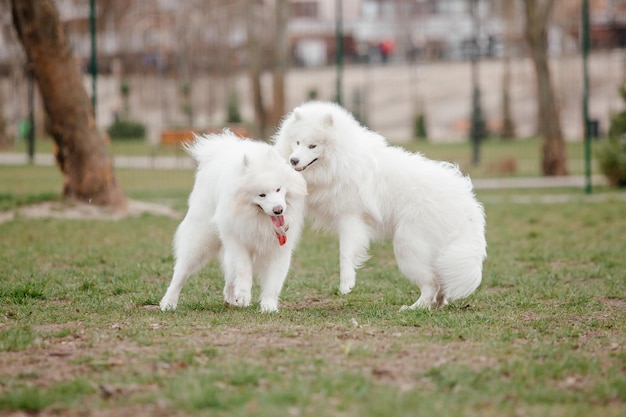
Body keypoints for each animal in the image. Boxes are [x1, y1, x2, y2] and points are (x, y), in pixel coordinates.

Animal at [160, 131, 306, 312]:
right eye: (262, 195)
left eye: (278, 189)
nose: (278, 210)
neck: (259, 218)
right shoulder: (236, 241)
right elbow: (244, 270)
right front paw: (243, 295)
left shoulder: (279, 249)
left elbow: (273, 283)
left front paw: (268, 306)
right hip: (200, 242)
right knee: (180, 273)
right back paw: (168, 302)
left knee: (229, 279)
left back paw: (231, 298)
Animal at [274, 101, 488, 308]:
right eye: (297, 142)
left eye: (313, 146)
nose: (293, 160)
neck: (340, 159)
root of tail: (467, 204)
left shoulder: (350, 218)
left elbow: (345, 253)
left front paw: (346, 283)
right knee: (440, 283)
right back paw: (435, 305)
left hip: (408, 246)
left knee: (430, 284)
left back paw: (415, 307)